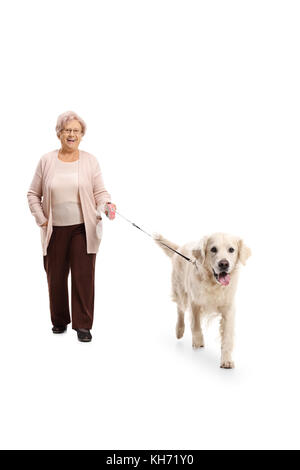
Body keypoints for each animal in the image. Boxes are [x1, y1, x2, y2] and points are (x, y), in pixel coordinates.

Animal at [155, 233, 251, 370]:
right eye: (213, 249)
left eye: (231, 249)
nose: (224, 264)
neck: (213, 284)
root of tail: (179, 248)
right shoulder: (195, 302)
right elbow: (195, 325)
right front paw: (198, 342)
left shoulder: (228, 308)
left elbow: (227, 337)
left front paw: (226, 360)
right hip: (180, 290)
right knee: (180, 309)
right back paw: (179, 329)